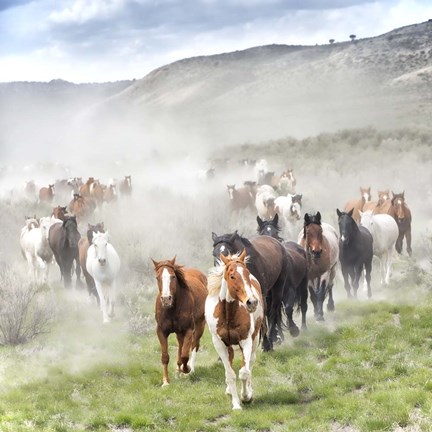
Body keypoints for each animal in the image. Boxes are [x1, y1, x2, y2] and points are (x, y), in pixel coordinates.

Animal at [151, 256, 207, 384]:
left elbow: (185, 355)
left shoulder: (188, 330)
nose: (166, 299)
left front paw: (186, 369)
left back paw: (189, 370)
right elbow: (165, 356)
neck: (172, 309)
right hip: (179, 331)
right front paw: (166, 382)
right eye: (157, 277)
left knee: (194, 345)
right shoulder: (161, 331)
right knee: (181, 345)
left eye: (173, 276)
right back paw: (178, 370)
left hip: (200, 324)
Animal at [205, 248, 264, 410]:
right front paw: (236, 404)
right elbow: (230, 374)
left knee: (251, 363)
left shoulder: (246, 341)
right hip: (229, 345)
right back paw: (229, 390)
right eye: (232, 276)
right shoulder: (219, 344)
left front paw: (246, 397)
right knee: (230, 364)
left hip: (255, 339)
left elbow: (244, 372)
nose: (252, 302)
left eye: (247, 273)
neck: (228, 315)